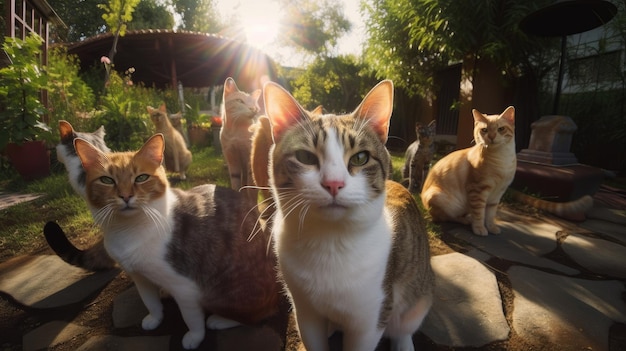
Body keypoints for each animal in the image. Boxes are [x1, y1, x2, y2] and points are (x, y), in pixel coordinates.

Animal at [64, 134, 278, 350]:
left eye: (141, 177)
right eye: (106, 180)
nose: (125, 196)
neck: (129, 229)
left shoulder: (184, 287)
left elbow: (191, 318)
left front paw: (194, 338)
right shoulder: (139, 276)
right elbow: (150, 301)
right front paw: (154, 318)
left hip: (225, 292)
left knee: (257, 315)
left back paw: (220, 320)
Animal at [260, 80, 432, 351]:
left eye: (360, 158)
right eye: (305, 157)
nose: (333, 183)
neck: (329, 241)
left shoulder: (370, 318)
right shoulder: (305, 311)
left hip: (419, 296)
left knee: (405, 325)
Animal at [416, 105, 516, 236]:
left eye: (501, 129)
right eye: (484, 130)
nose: (491, 137)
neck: (503, 158)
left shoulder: (497, 194)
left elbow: (490, 215)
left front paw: (492, 228)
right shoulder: (478, 190)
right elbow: (479, 214)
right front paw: (479, 228)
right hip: (441, 199)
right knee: (445, 217)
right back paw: (466, 221)